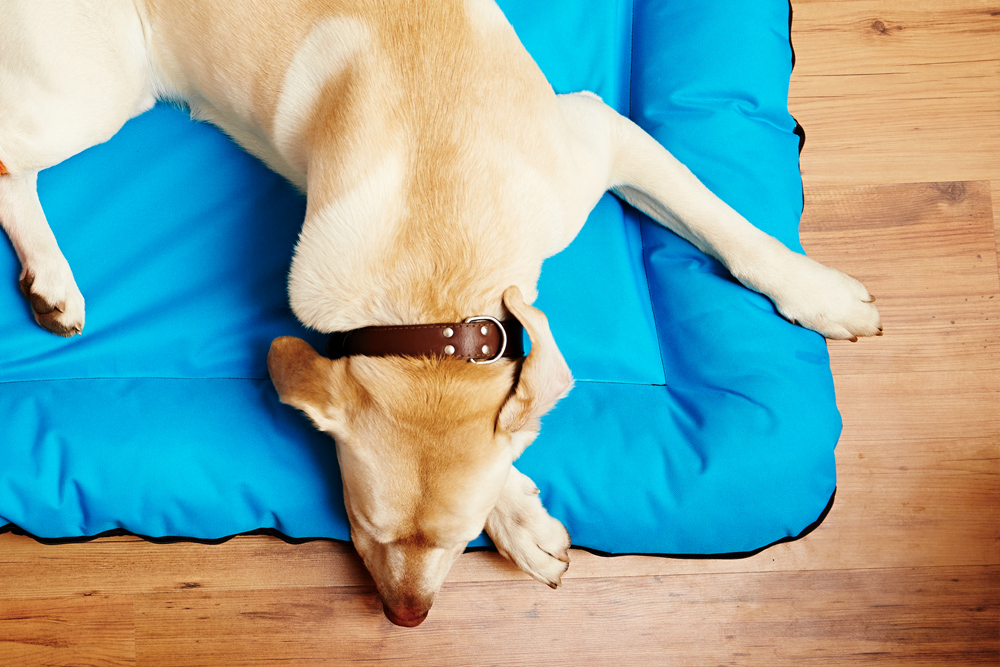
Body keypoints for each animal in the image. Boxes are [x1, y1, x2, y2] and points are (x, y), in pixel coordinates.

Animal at [0, 0, 876, 628]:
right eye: (365, 522)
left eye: (459, 539)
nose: (407, 617)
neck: (435, 283)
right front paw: (524, 515)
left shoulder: (601, 137)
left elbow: (723, 221)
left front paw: (816, 291)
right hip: (98, 87)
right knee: (12, 158)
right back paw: (52, 275)